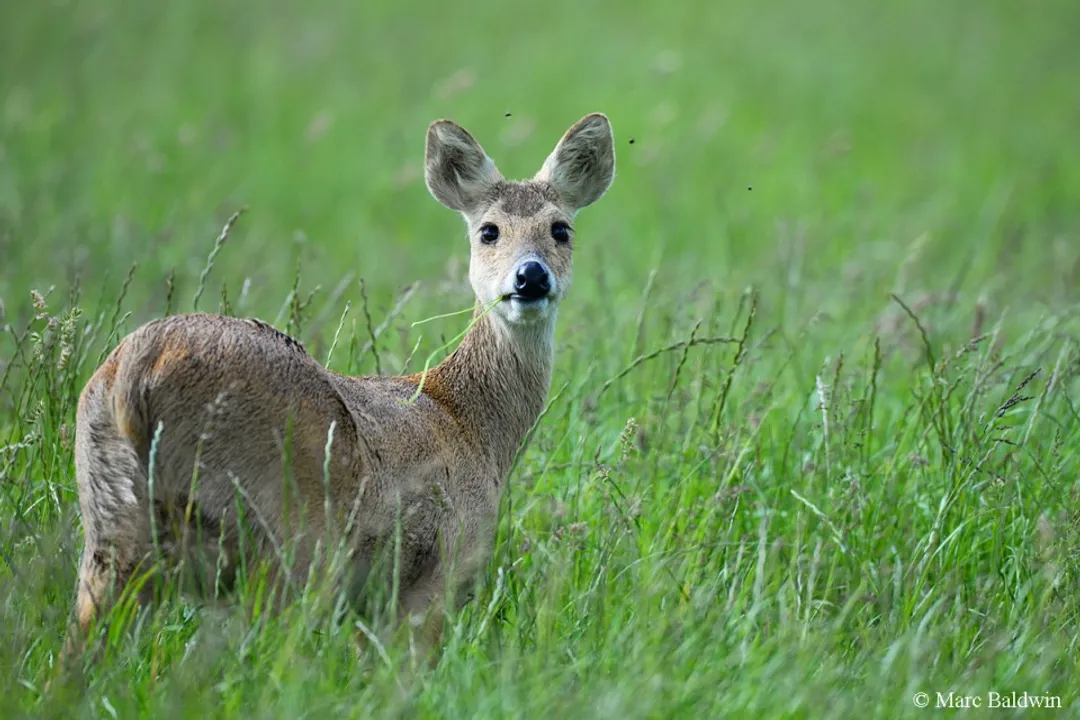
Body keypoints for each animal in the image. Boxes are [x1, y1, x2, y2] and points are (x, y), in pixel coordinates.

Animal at [69, 113, 616, 657]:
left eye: (560, 229)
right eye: (489, 231)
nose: (530, 276)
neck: (468, 420)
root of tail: (136, 369)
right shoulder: (443, 563)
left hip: (112, 523)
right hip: (282, 540)